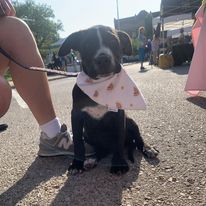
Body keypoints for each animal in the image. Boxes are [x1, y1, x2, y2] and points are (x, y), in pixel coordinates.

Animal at [58, 25, 159, 175]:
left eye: (114, 42)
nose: (103, 59)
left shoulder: (119, 116)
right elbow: (78, 141)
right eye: (87, 45)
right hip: (88, 134)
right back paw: (92, 159)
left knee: (138, 139)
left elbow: (118, 140)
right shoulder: (76, 116)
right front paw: (77, 163)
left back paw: (148, 148)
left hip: (130, 121)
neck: (101, 85)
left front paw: (119, 163)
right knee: (102, 150)